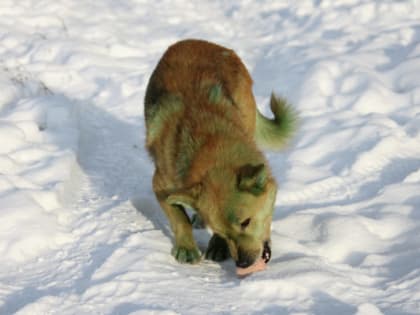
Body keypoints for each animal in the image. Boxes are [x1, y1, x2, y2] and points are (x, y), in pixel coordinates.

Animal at [144, 39, 296, 272]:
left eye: (246, 222)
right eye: (225, 232)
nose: (243, 263)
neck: (209, 142)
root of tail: (196, 41)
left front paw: (216, 246)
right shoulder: (161, 185)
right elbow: (179, 219)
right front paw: (187, 247)